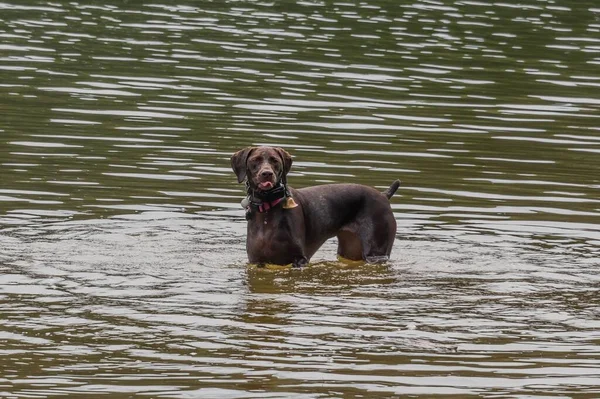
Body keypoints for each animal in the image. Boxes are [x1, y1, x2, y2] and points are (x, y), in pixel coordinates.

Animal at [232, 147, 400, 268]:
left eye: (275, 161)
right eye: (255, 160)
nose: (267, 174)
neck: (267, 209)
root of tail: (384, 195)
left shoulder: (299, 259)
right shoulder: (256, 261)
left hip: (376, 253)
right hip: (351, 250)